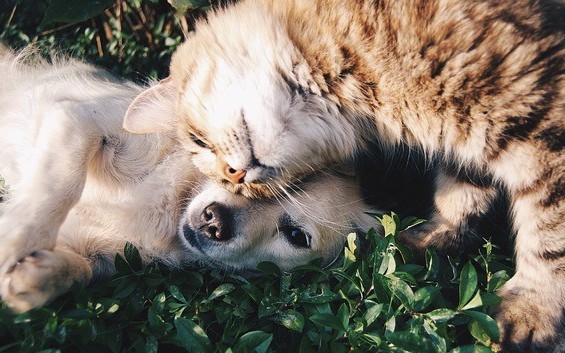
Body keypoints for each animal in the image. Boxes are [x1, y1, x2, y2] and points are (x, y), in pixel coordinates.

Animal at [122, 0, 564, 350]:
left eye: (199, 141)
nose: (236, 176)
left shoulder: (541, 127)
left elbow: (548, 236)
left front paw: (531, 310)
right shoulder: (468, 144)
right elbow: (461, 193)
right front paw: (430, 239)